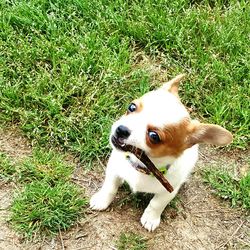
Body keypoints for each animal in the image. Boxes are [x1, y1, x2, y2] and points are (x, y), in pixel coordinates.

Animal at [90, 74, 232, 232]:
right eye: (131, 107)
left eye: (154, 136)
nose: (121, 129)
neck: (143, 166)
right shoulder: (114, 168)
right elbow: (110, 187)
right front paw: (102, 200)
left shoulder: (168, 192)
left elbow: (156, 204)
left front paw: (150, 219)